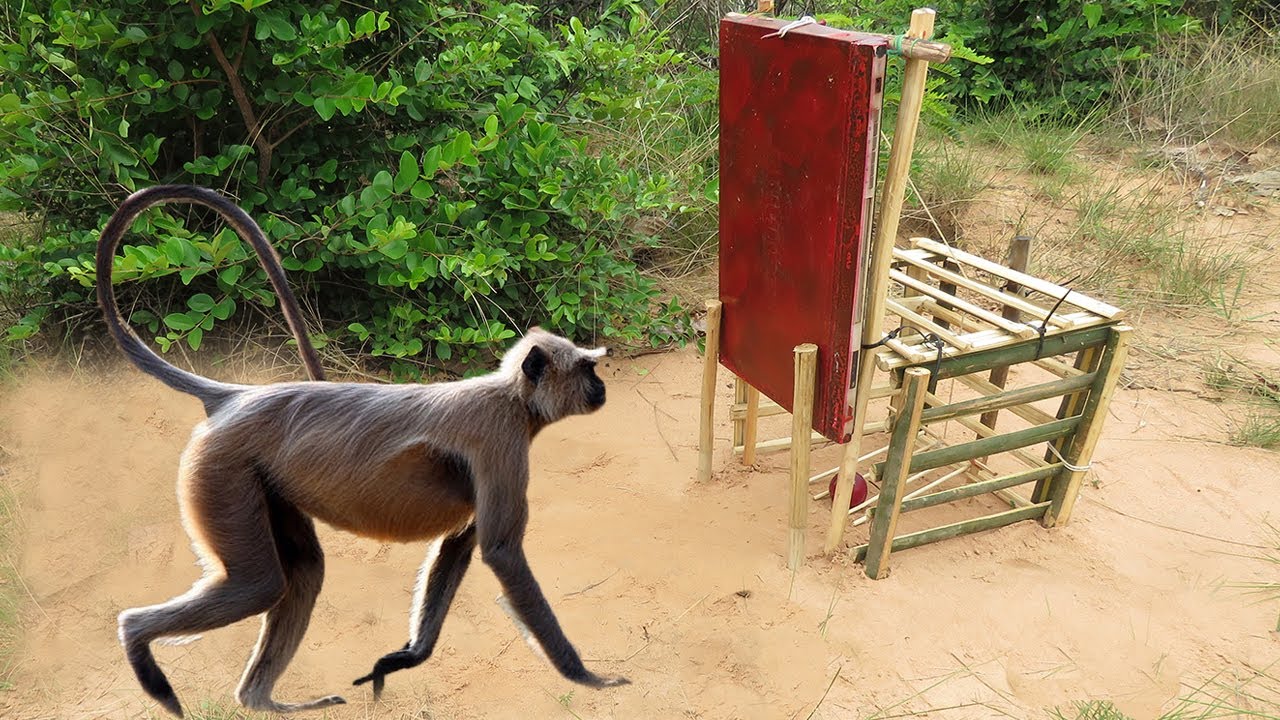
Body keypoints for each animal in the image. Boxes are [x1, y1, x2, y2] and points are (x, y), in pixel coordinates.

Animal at [96, 185, 629, 718]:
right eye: (587, 369)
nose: (601, 387)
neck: (512, 398)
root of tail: (236, 397)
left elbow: (459, 545)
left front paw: (404, 660)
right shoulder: (501, 440)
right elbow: (500, 552)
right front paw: (586, 677)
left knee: (303, 573)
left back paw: (262, 700)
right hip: (222, 469)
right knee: (258, 585)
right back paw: (139, 641)